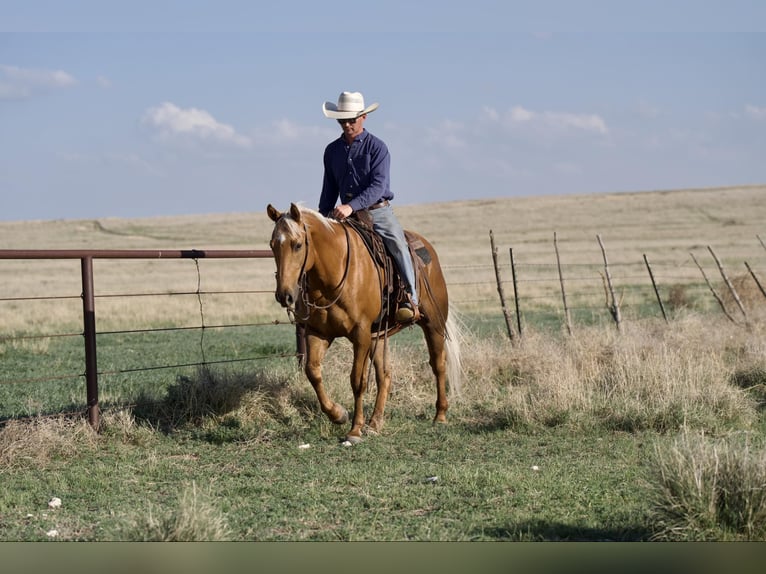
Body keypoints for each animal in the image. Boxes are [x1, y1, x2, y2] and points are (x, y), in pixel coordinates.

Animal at [268, 204, 464, 446]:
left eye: (297, 245)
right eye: (272, 245)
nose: (284, 295)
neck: (333, 274)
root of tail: (427, 248)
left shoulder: (360, 334)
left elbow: (358, 381)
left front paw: (354, 430)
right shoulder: (318, 333)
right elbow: (312, 372)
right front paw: (338, 414)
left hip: (433, 324)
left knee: (438, 365)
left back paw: (440, 415)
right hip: (377, 337)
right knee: (384, 375)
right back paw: (375, 423)